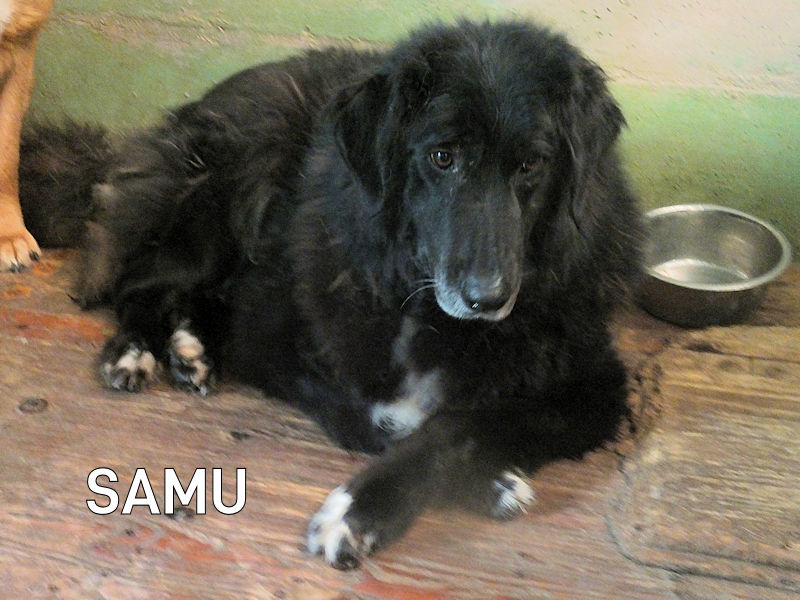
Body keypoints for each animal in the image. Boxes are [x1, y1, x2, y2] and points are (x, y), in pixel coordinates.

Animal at [20, 19, 643, 568]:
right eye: (442, 157)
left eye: (532, 164)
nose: (486, 300)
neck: (420, 300)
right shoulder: (277, 339)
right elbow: (382, 421)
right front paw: (367, 508)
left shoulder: (598, 387)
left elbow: (462, 425)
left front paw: (483, 478)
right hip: (226, 196)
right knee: (139, 281)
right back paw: (137, 350)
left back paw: (192, 349)